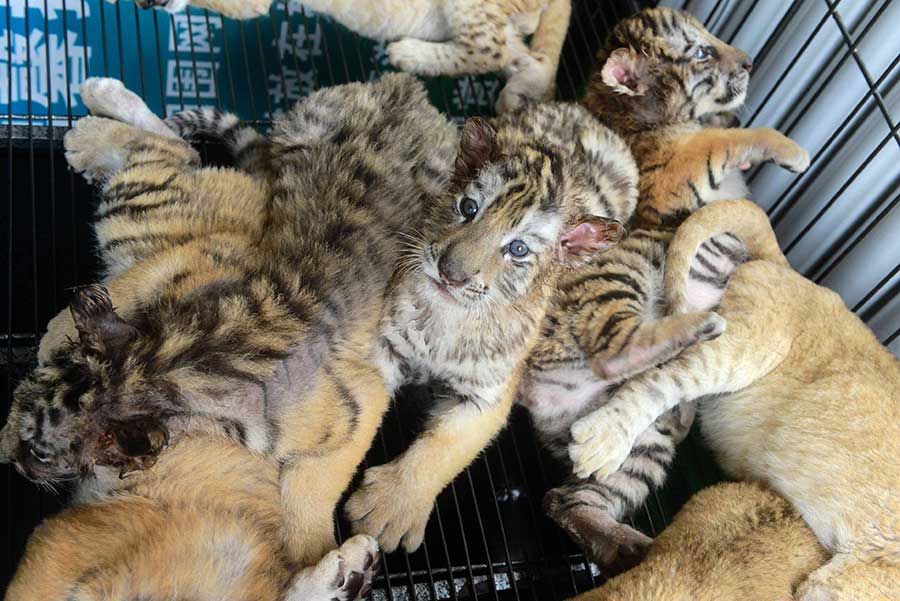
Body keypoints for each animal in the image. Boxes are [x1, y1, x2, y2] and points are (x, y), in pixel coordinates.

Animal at [0, 73, 458, 567]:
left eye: (39, 454)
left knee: (173, 148)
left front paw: (310, 555)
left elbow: (313, 487)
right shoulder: (208, 259)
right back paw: (96, 113)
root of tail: (406, 86)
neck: (161, 364)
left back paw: (87, 128)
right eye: (19, 396)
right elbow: (134, 282)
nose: (3, 455)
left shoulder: (360, 403)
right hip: (294, 130)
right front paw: (57, 333)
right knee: (178, 146)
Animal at [516, 6, 810, 572]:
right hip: (622, 275)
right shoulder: (678, 170)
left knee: (566, 500)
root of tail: (534, 391)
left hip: (643, 446)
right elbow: (728, 138)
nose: (750, 60)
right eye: (700, 51)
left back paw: (638, 550)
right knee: (618, 351)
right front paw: (791, 151)